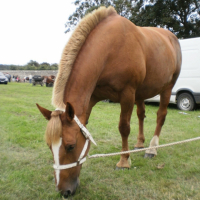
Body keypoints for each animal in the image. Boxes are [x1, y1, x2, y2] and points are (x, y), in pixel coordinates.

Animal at [36, 6, 181, 198]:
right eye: (49, 146)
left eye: (70, 146)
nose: (64, 192)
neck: (111, 49)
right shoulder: (91, 98)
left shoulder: (127, 94)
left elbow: (124, 128)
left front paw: (124, 161)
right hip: (141, 93)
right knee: (141, 115)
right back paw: (139, 143)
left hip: (167, 88)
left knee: (161, 116)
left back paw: (151, 149)